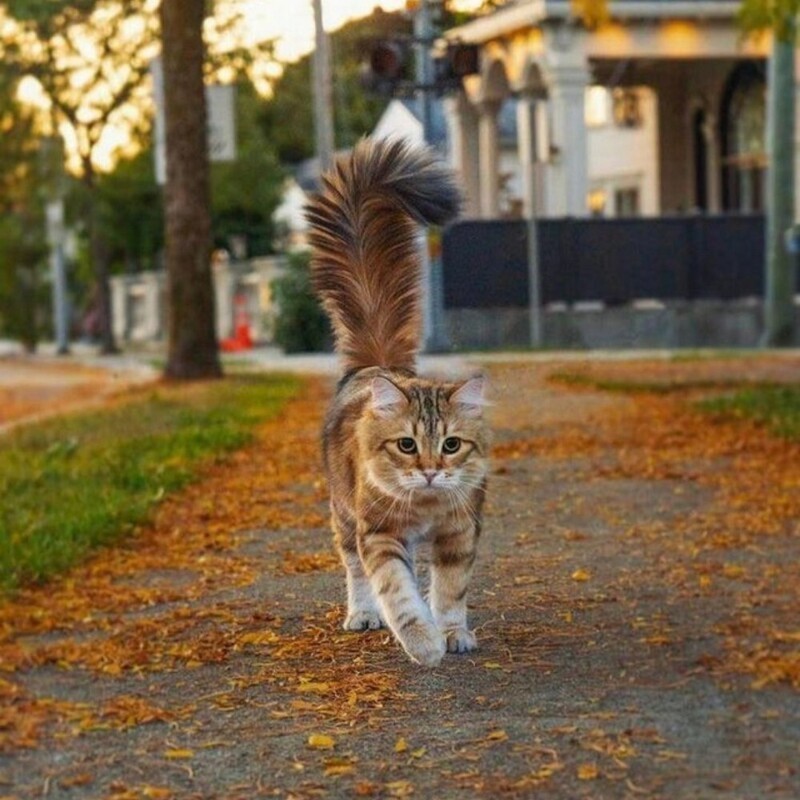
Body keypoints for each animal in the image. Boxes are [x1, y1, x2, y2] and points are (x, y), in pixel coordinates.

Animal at [304, 139, 488, 668]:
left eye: (451, 445)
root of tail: (375, 365)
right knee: (356, 573)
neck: (425, 505)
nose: (428, 470)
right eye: (406, 445)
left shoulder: (458, 534)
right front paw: (423, 642)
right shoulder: (380, 535)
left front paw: (452, 633)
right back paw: (363, 615)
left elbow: (448, 593)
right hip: (345, 518)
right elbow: (399, 595)